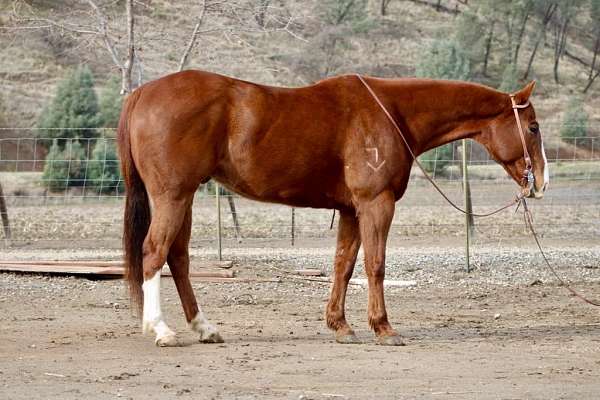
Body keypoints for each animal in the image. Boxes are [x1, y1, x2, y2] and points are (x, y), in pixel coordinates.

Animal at [117, 71, 548, 346]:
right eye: (533, 127)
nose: (541, 182)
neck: (391, 112)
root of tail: (141, 93)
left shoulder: (351, 211)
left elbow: (344, 264)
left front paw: (340, 326)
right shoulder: (376, 205)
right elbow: (375, 264)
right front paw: (383, 328)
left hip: (184, 197)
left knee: (178, 257)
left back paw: (204, 328)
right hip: (172, 196)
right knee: (154, 253)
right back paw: (161, 330)